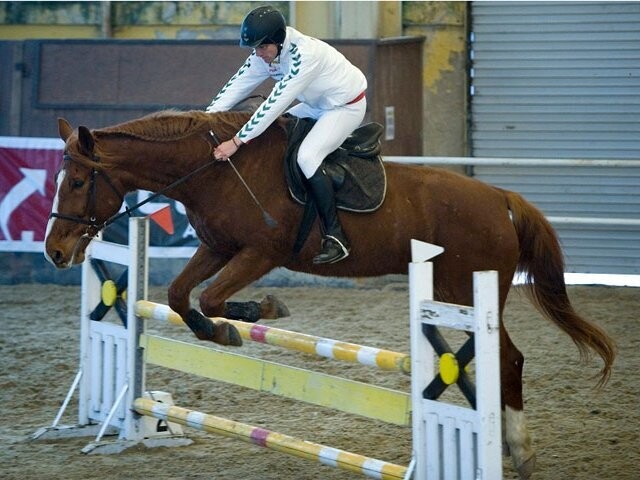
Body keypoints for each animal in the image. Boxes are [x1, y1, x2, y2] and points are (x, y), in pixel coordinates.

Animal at [45, 109, 616, 480]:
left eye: (77, 182)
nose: (54, 251)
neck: (215, 171)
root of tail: (502, 198)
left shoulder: (261, 252)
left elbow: (208, 300)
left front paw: (251, 316)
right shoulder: (217, 248)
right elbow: (183, 297)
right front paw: (229, 327)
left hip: (468, 290)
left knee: (510, 359)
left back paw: (520, 449)